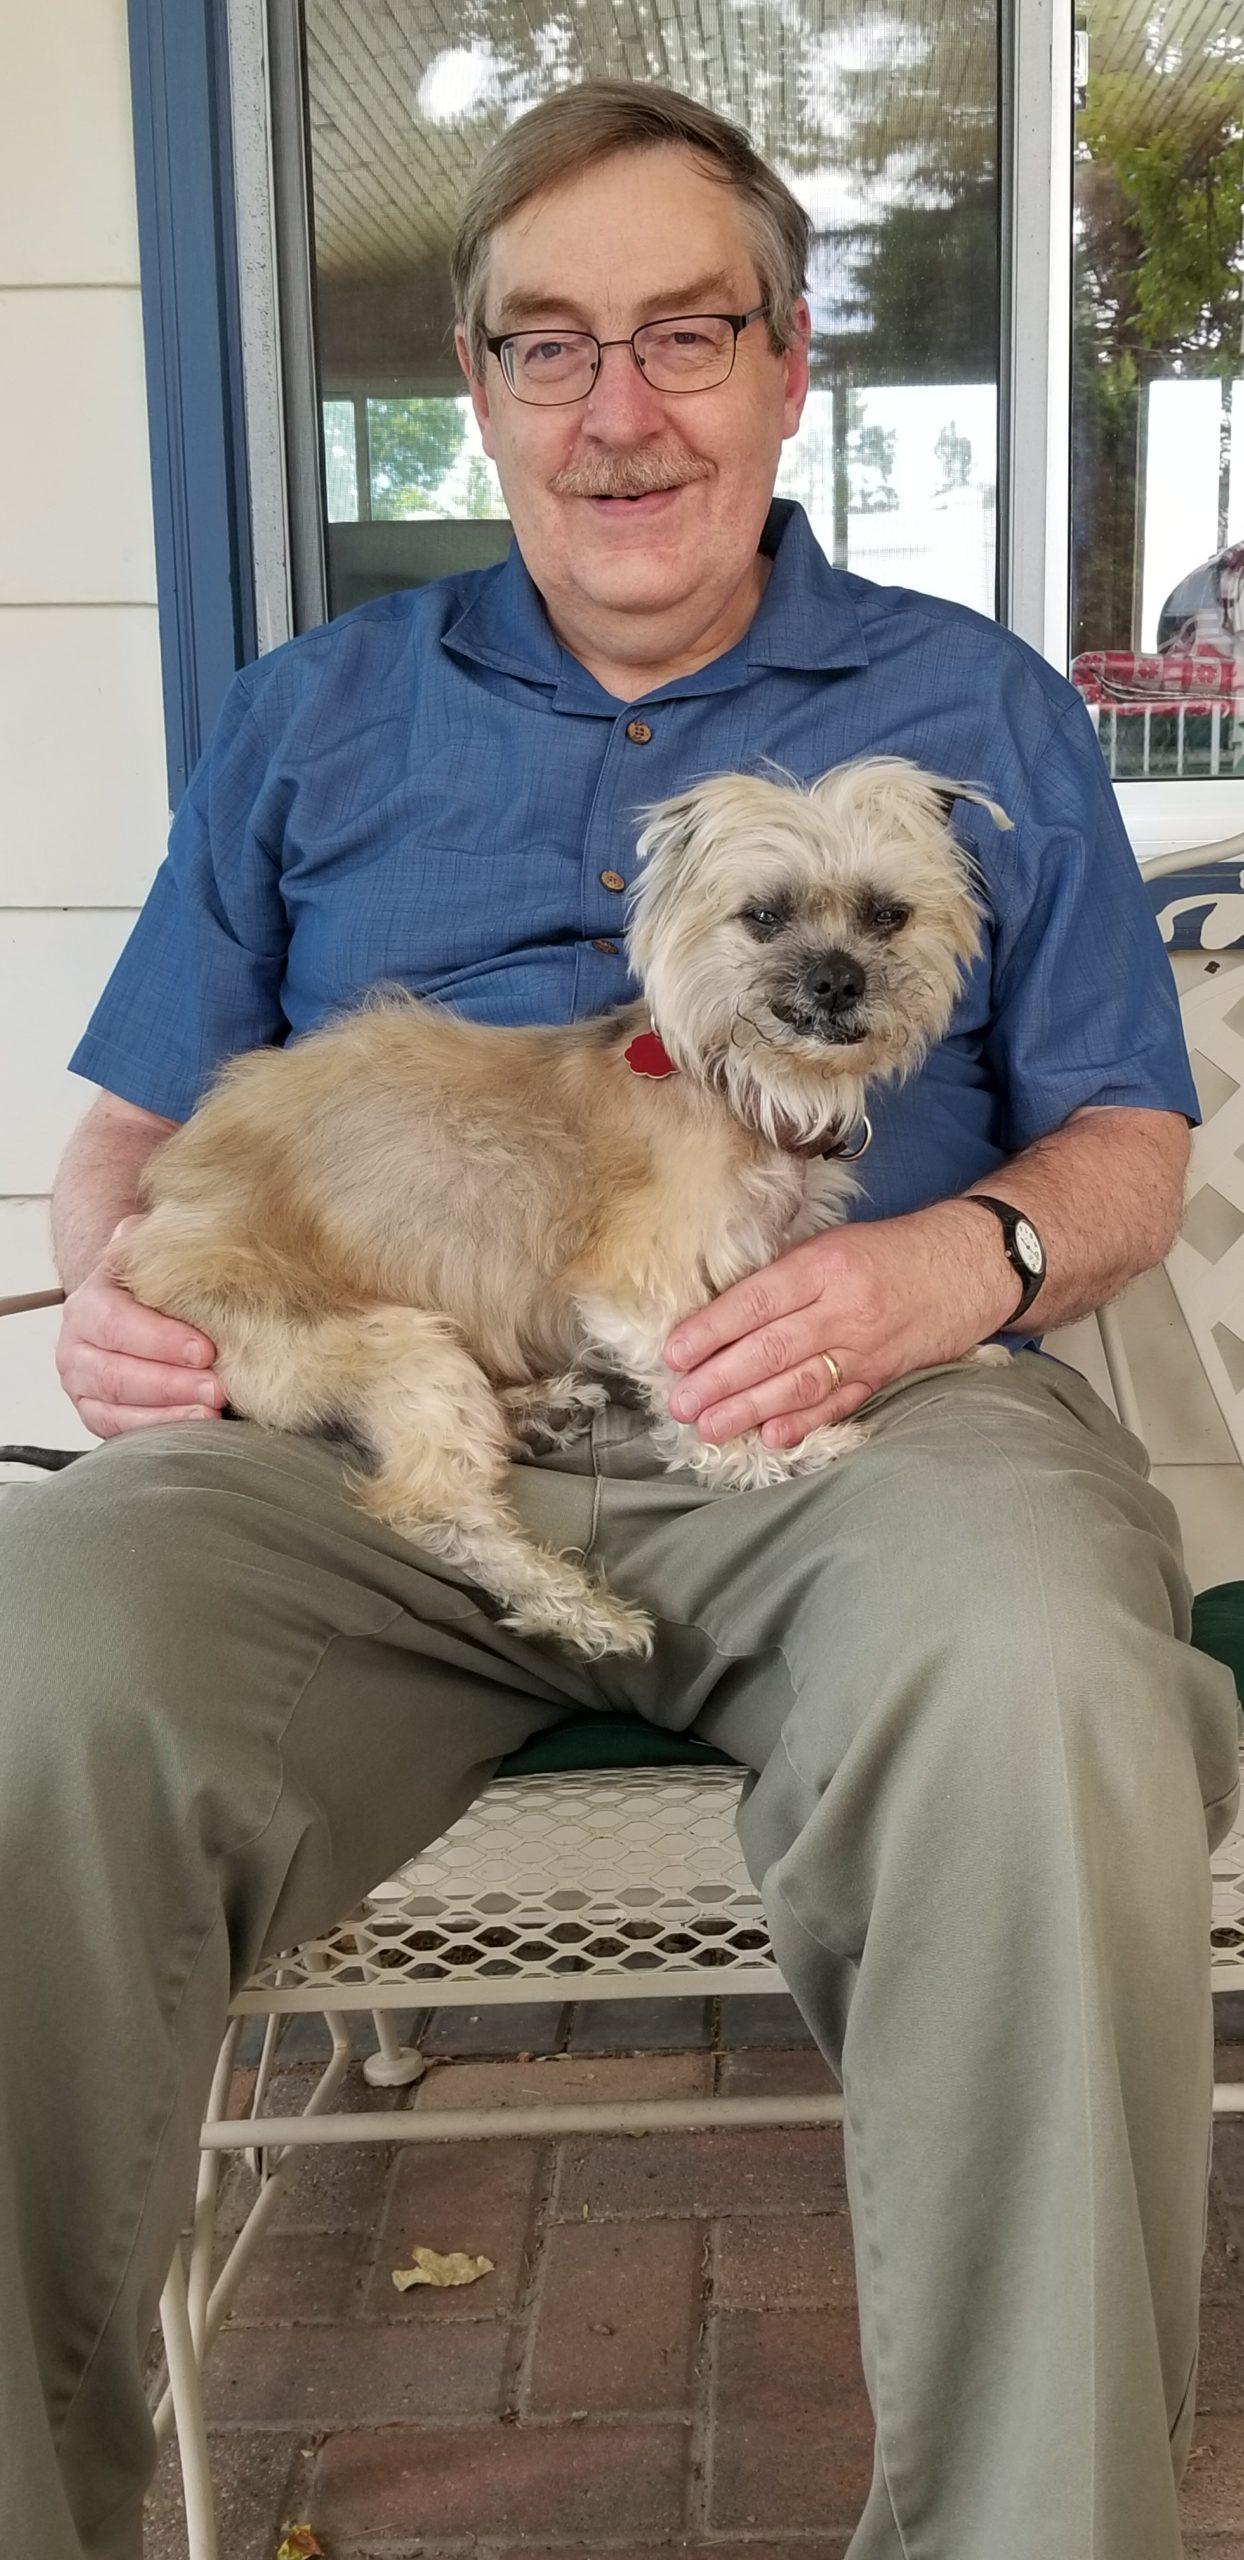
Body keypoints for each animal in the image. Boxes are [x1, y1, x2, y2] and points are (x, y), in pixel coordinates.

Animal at [109, 752, 1008, 1658]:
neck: (738, 1085)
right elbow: (693, 1398)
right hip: (387, 1342)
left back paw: (539, 1408)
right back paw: (580, 1608)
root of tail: (154, 1245)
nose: (837, 978)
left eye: (889, 915)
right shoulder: (641, 1286)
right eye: (763, 916)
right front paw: (762, 1458)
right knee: (433, 1506)